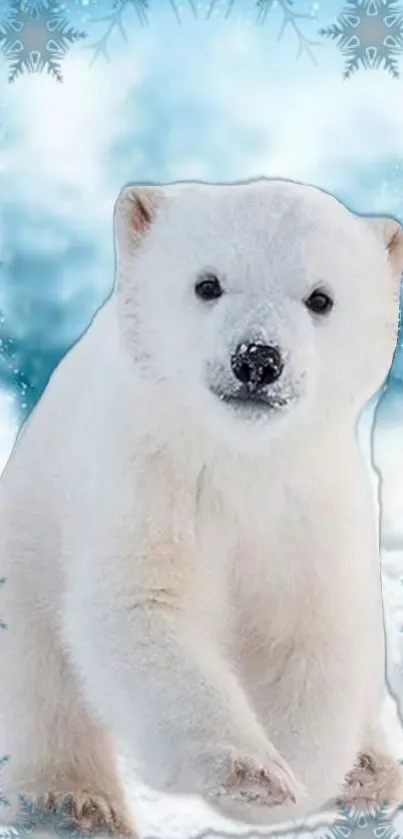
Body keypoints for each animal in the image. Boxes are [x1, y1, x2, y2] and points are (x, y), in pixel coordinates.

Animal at [0, 176, 403, 832]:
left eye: (320, 298)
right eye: (207, 284)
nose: (258, 359)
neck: (238, 459)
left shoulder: (309, 505)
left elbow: (314, 636)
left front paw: (300, 774)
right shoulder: (144, 481)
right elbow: (143, 608)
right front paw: (251, 773)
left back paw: (372, 770)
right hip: (28, 549)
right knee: (40, 682)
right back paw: (72, 801)